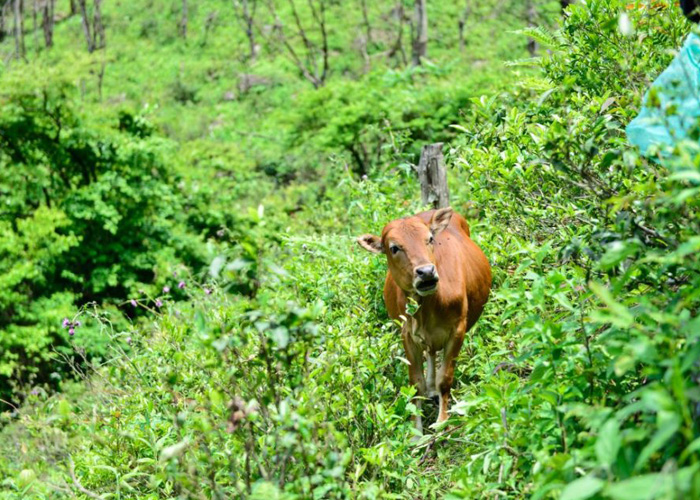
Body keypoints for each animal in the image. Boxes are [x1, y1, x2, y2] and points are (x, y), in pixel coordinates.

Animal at [356, 208, 492, 434]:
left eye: (429, 239)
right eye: (394, 248)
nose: (426, 272)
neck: (428, 307)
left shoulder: (457, 329)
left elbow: (445, 378)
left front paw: (442, 421)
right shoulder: (407, 335)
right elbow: (415, 383)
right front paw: (416, 430)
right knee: (430, 353)